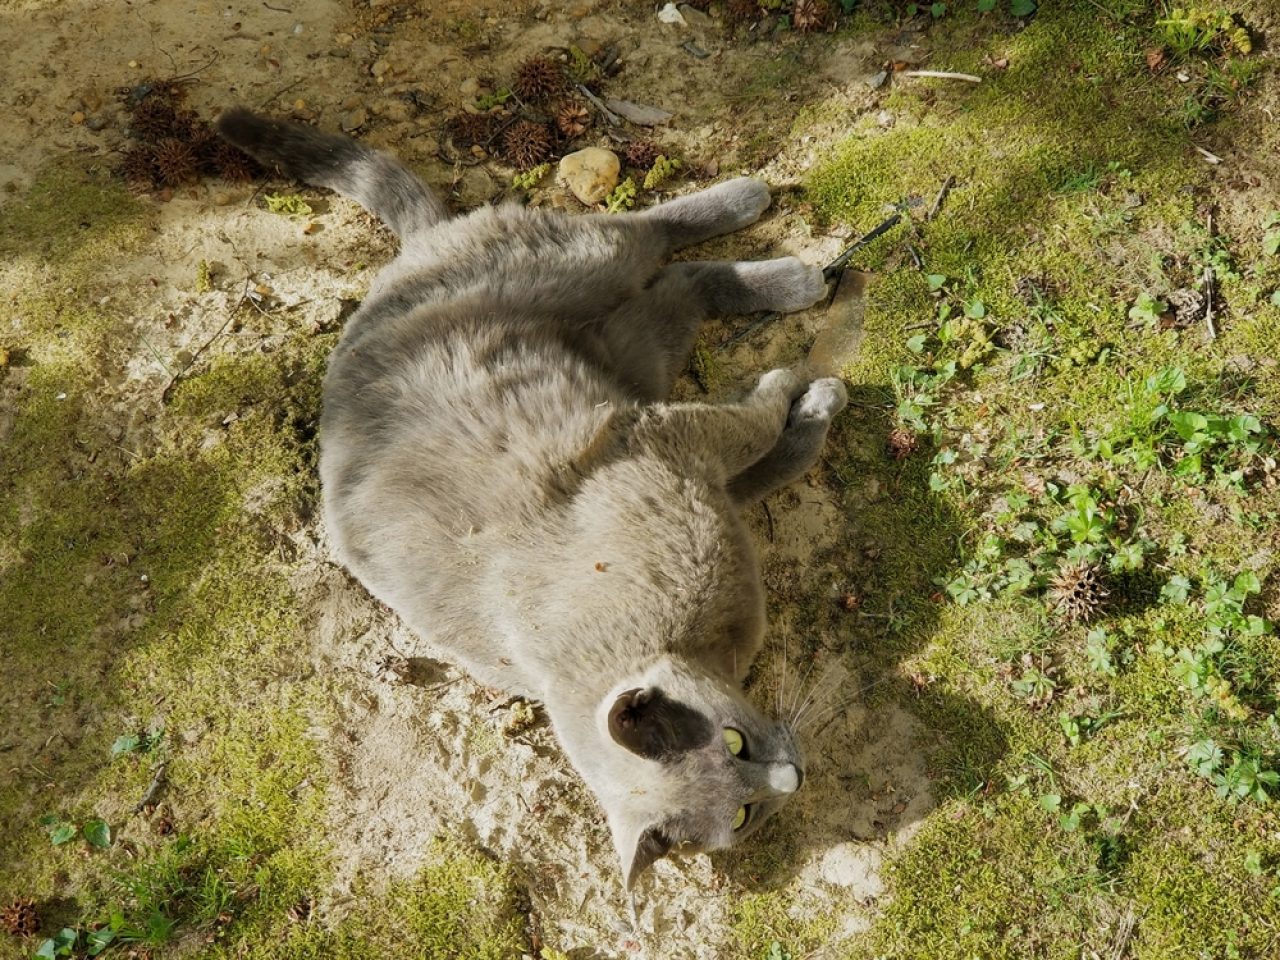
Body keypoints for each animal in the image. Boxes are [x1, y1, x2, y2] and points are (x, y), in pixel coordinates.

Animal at [217, 108, 849, 890]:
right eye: (743, 813)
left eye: (734, 742)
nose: (792, 779)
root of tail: (409, 257)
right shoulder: (691, 460)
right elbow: (773, 451)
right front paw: (811, 403)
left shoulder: (661, 440)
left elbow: (756, 423)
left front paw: (798, 387)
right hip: (631, 350)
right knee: (680, 282)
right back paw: (786, 277)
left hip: (573, 275)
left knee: (642, 232)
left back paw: (767, 230)